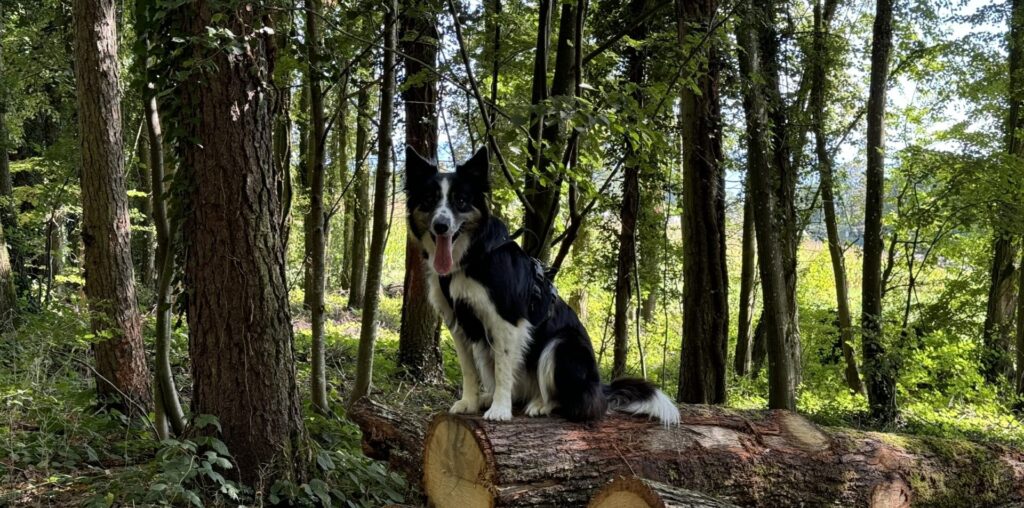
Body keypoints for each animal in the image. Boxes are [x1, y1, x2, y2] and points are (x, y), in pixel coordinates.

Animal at [401, 143, 679, 424]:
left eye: (460, 201)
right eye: (429, 200)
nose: (441, 225)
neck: (472, 256)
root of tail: (600, 388)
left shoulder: (506, 320)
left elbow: (503, 368)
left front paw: (500, 410)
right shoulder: (458, 323)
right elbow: (468, 369)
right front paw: (469, 402)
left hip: (561, 344)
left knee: (569, 401)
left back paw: (540, 404)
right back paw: (491, 397)